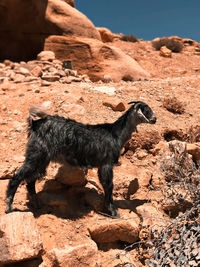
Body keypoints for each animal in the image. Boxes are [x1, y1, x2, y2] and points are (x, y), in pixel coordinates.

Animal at [5, 100, 156, 218]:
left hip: (41, 159)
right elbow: (109, 185)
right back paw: (9, 206)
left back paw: (37, 205)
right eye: (147, 110)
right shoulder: (106, 164)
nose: (155, 119)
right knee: (18, 176)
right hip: (37, 154)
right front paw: (114, 212)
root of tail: (35, 124)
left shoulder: (102, 165)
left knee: (30, 181)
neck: (115, 134)